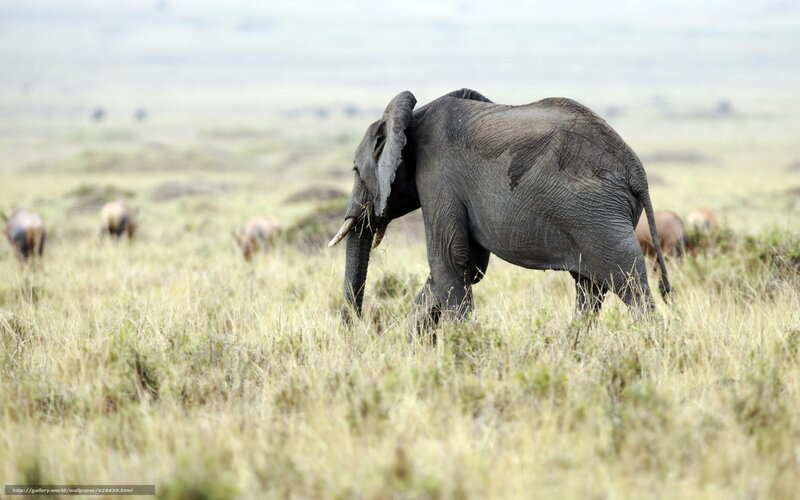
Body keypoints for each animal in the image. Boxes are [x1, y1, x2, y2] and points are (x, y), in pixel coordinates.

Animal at [328, 88, 670, 328]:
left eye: (355, 170)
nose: (355, 328)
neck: (413, 117)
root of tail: (636, 170)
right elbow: (469, 266)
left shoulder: (439, 179)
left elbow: (449, 259)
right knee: (589, 286)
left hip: (598, 217)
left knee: (628, 282)